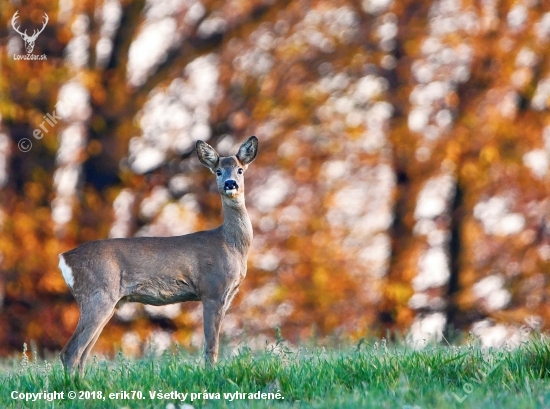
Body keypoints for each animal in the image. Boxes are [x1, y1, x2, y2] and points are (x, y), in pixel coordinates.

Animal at [59, 135, 260, 372]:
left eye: (240, 170)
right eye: (218, 171)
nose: (230, 184)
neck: (231, 244)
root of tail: (64, 259)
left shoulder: (226, 295)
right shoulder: (212, 289)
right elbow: (211, 347)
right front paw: (210, 374)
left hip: (107, 301)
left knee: (82, 355)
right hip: (98, 293)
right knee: (70, 352)